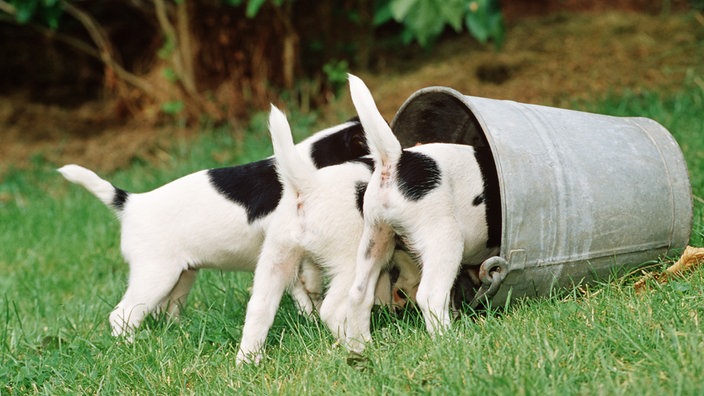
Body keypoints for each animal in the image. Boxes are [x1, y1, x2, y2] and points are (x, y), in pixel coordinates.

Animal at [55, 117, 368, 338]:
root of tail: (131, 204)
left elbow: (303, 285)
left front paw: (309, 313)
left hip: (182, 277)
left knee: (166, 312)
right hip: (155, 276)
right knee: (123, 316)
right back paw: (130, 347)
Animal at [342, 74, 498, 352]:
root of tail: (395, 160)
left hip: (375, 241)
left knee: (358, 295)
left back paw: (360, 346)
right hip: (445, 240)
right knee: (430, 296)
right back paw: (451, 340)